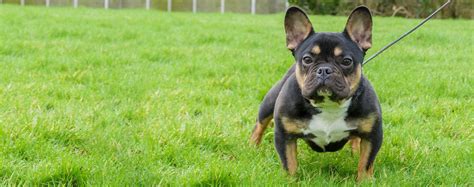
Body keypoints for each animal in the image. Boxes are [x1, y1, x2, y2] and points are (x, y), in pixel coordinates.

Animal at [250, 6, 384, 181]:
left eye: (346, 61)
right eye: (307, 59)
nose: (324, 69)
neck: (328, 105)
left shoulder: (372, 135)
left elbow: (366, 163)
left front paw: (364, 181)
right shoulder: (284, 135)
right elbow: (289, 163)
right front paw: (290, 181)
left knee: (355, 138)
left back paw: (354, 152)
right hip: (268, 103)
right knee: (259, 125)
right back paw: (251, 147)